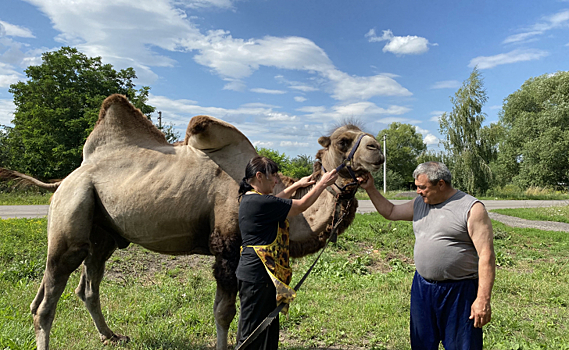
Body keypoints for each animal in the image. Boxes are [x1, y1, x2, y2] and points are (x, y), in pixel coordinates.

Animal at [3, 93, 382, 350]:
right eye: (343, 141)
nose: (377, 150)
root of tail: (65, 179)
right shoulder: (225, 247)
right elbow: (224, 312)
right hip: (73, 211)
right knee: (49, 297)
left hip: (103, 233)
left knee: (85, 285)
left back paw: (112, 336)